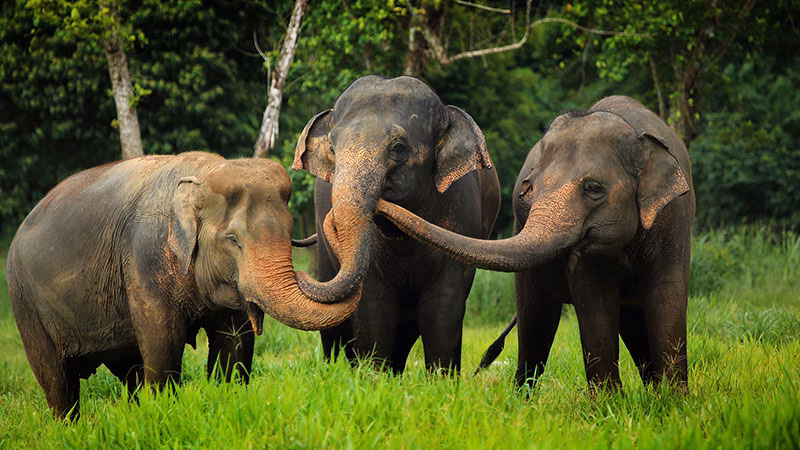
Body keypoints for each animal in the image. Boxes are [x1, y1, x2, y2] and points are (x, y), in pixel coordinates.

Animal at [6, 152, 360, 420]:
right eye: (232, 240)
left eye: (289, 233)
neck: (202, 174)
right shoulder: (144, 258)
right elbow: (163, 342)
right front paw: (165, 414)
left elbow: (234, 344)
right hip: (24, 302)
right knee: (57, 380)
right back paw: (70, 427)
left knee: (128, 370)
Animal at [292, 75, 500, 374]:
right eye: (333, 149)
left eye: (398, 148)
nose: (298, 273)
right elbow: (373, 305)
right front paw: (371, 377)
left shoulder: (462, 212)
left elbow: (444, 306)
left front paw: (443, 380)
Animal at [377, 96, 695, 391]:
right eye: (529, 189)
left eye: (594, 188)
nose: (380, 199)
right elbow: (595, 303)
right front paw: (611, 404)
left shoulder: (674, 218)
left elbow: (667, 297)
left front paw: (672, 403)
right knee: (535, 323)